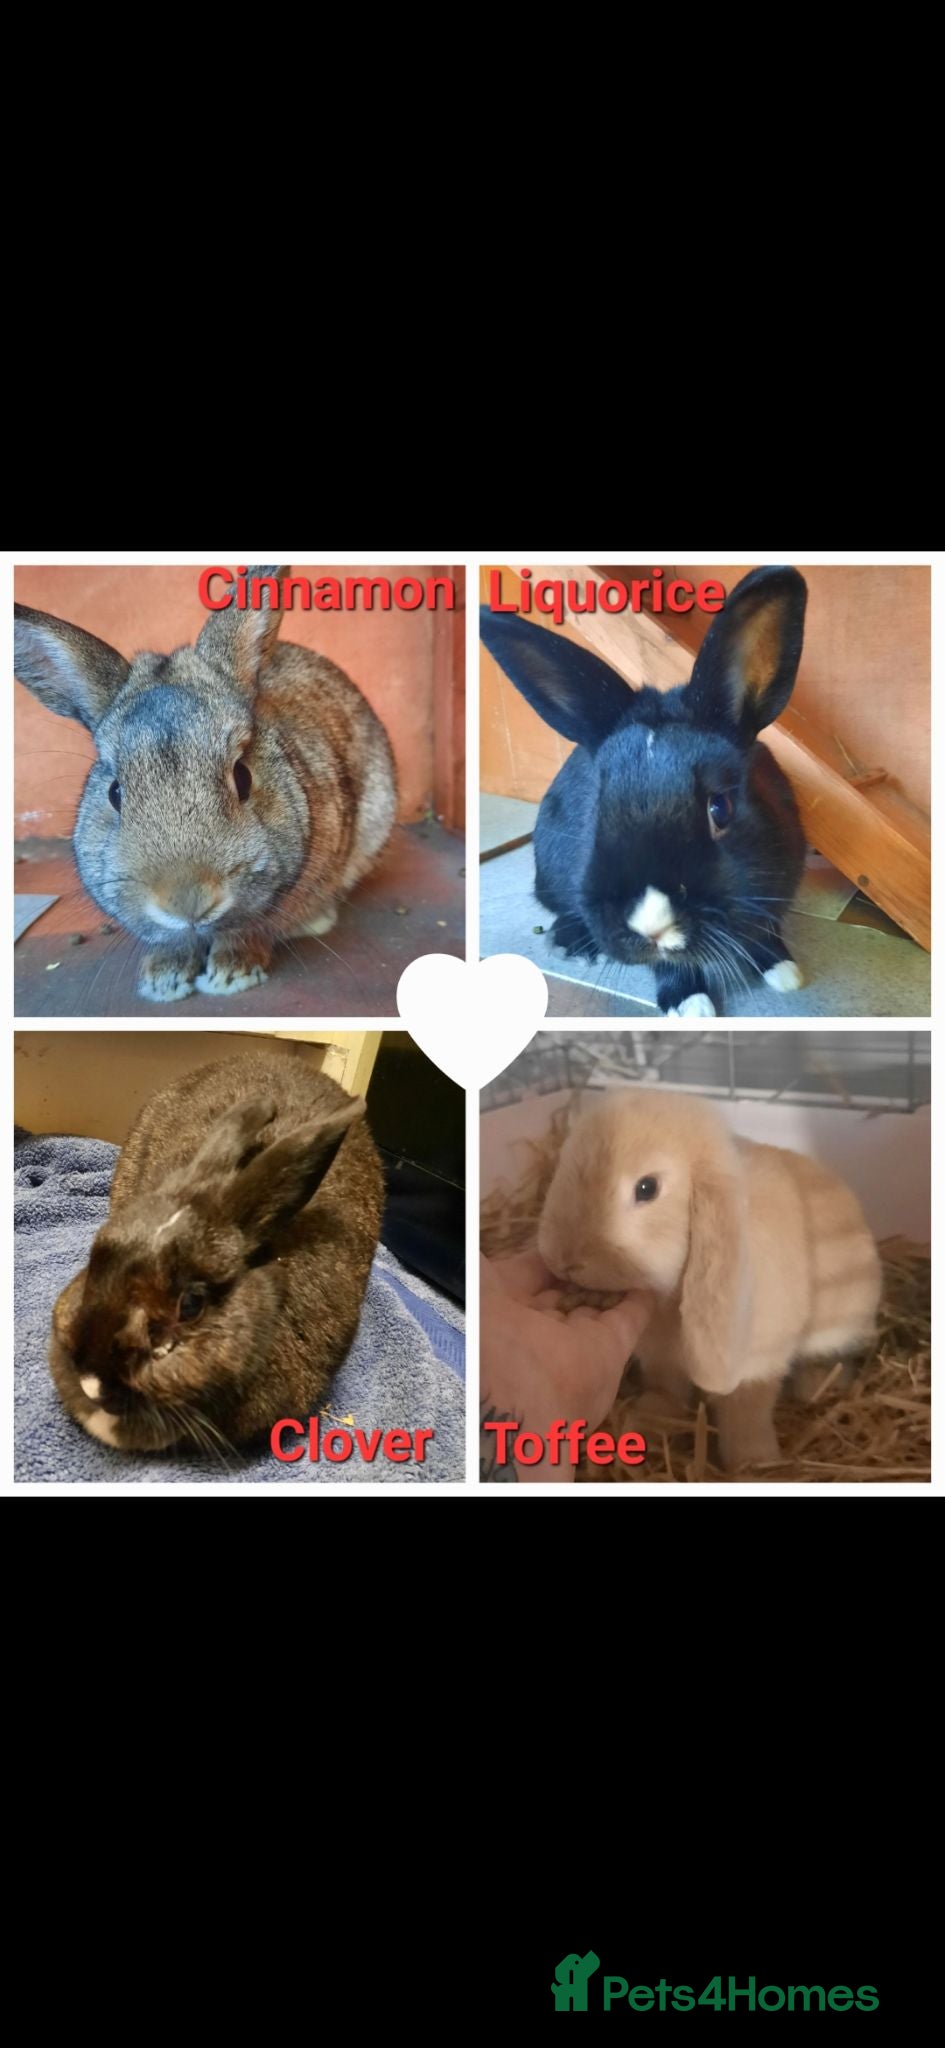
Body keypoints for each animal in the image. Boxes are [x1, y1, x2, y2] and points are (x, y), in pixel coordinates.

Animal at [14, 566, 397, 1000]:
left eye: (243, 776)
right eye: (115, 793)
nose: (188, 901)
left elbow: (252, 928)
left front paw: (232, 972)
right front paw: (163, 979)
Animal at [480, 566, 808, 1017]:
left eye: (720, 808)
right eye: (596, 812)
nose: (651, 926)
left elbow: (766, 931)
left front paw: (785, 970)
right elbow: (669, 966)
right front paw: (690, 1004)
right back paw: (570, 943)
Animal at [537, 1088, 881, 1470]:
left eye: (647, 1188)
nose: (562, 1258)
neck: (669, 1301)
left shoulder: (757, 1363)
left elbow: (745, 1409)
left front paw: (752, 1462)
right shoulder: (661, 1361)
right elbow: (667, 1391)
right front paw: (644, 1423)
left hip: (840, 1323)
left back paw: (814, 1387)